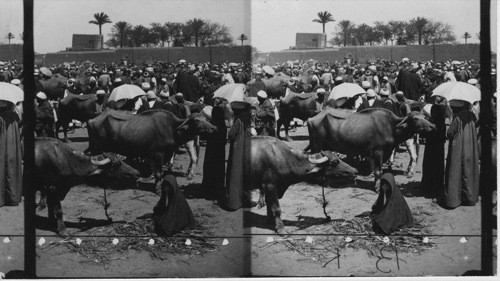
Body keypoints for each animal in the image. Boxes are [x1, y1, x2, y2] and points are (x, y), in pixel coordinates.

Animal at [85, 109, 217, 190]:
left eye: (205, 119)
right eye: (196, 120)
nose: (213, 128)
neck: (172, 128)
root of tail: (91, 120)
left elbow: (156, 170)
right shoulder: (158, 153)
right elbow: (158, 172)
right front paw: (158, 189)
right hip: (98, 149)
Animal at [302, 106, 436, 190]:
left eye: (424, 117)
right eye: (415, 118)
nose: (432, 126)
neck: (391, 127)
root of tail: (312, 118)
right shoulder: (378, 152)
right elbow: (378, 171)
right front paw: (376, 187)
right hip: (317, 146)